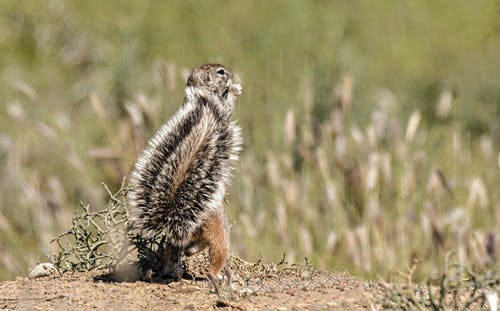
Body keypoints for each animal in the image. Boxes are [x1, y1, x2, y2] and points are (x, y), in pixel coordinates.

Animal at [128, 64, 243, 292]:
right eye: (220, 72)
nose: (232, 75)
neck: (201, 95)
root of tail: (175, 218)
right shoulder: (221, 109)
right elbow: (228, 108)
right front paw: (235, 90)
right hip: (220, 235)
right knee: (214, 258)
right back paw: (219, 277)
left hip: (184, 242)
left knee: (180, 251)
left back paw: (174, 270)